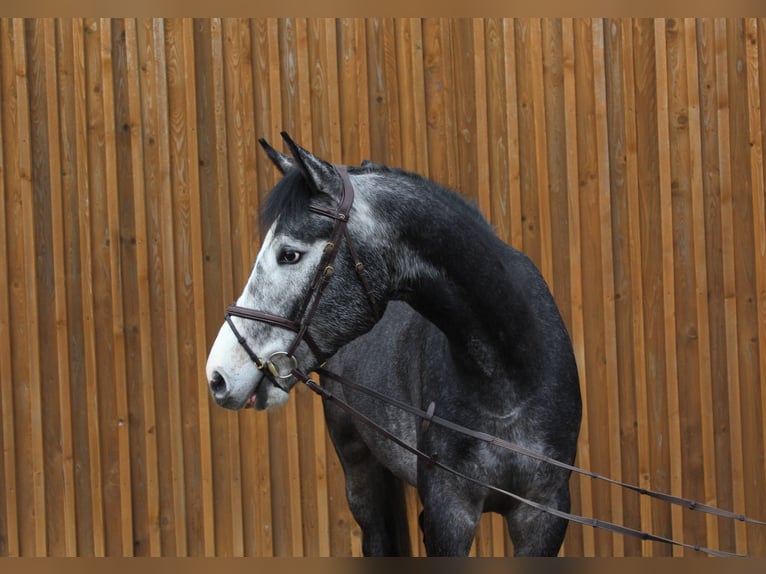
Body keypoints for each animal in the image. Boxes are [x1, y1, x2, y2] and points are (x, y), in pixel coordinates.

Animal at [204, 134, 584, 560]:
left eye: (290, 254)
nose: (219, 375)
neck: (509, 374)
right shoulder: (449, 509)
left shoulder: (543, 513)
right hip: (359, 468)